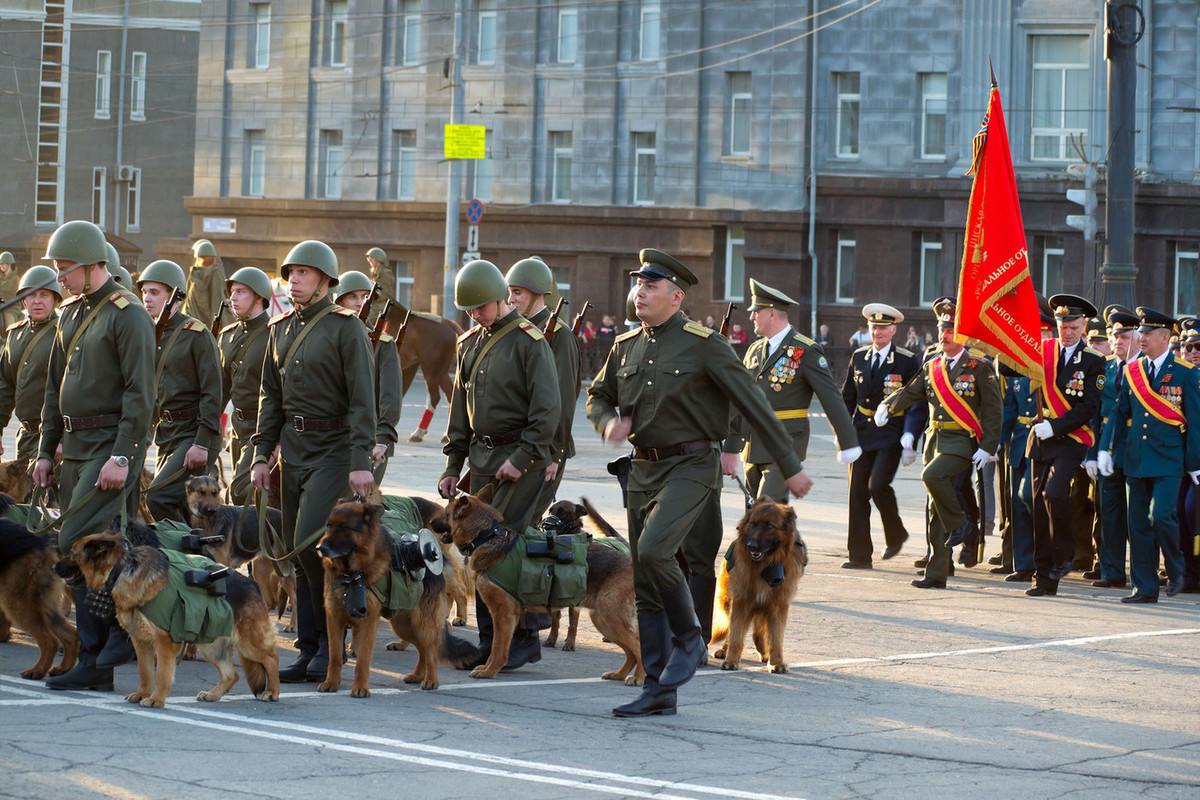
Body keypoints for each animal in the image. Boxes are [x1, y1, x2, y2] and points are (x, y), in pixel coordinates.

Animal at [0, 503, 78, 681]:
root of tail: (45, 539)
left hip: (16, 603)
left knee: (50, 641)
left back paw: (37, 671)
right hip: (44, 607)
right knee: (71, 636)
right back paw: (62, 670)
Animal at [69, 532, 279, 705]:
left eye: (72, 554)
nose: (57, 568)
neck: (120, 570)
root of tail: (251, 582)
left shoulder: (164, 642)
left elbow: (162, 674)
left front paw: (156, 699)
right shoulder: (141, 642)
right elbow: (145, 673)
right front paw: (141, 694)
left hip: (248, 643)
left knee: (271, 659)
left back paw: (272, 692)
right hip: (211, 645)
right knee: (232, 674)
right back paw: (213, 694)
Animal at [314, 501, 453, 695]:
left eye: (344, 528)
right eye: (328, 526)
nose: (319, 548)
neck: (350, 573)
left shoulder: (368, 621)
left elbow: (362, 660)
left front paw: (360, 688)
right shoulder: (334, 619)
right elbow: (334, 657)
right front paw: (331, 682)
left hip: (422, 624)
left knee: (431, 650)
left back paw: (431, 680)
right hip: (403, 625)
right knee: (422, 650)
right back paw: (417, 675)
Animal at [429, 484, 638, 686]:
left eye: (446, 513)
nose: (430, 522)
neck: (486, 536)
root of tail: (630, 561)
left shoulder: (503, 614)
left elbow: (497, 648)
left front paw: (489, 671)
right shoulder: (508, 615)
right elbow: (498, 646)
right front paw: (488, 668)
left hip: (608, 618)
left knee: (637, 645)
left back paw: (638, 678)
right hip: (602, 620)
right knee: (631, 651)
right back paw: (620, 675)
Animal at [710, 501, 806, 676]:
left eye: (769, 526)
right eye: (753, 524)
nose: (751, 546)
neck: (765, 565)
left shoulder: (777, 605)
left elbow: (776, 639)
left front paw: (776, 662)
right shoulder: (741, 601)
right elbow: (735, 635)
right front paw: (731, 661)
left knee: (758, 632)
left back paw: (764, 653)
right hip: (729, 601)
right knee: (731, 631)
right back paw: (724, 650)